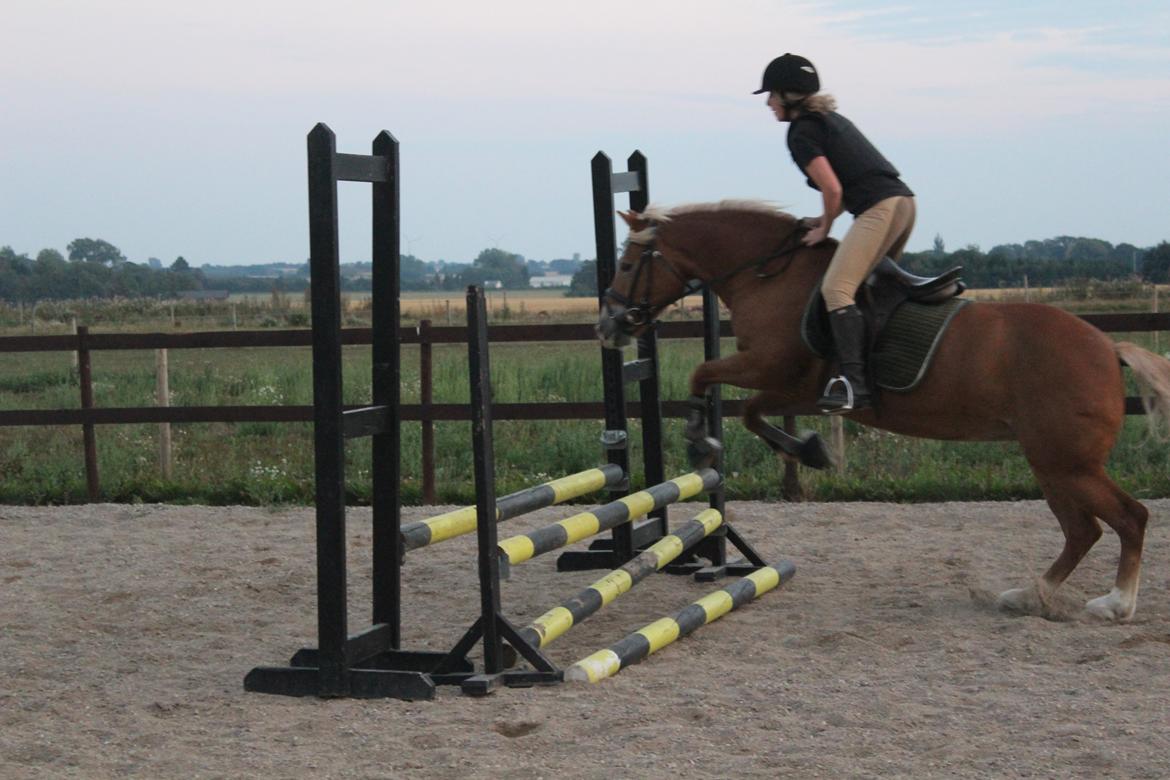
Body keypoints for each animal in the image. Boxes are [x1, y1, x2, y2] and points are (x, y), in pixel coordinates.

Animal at [596, 200, 1170, 622]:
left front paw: (704, 438)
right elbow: (753, 413)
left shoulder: (772, 370)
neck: (768, 275)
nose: (609, 325)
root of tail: (1108, 346)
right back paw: (1030, 596)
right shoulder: (798, 389)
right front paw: (811, 450)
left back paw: (1115, 604)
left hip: (1065, 462)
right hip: (1051, 462)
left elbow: (709, 380)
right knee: (1083, 531)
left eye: (626, 264)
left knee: (1126, 517)